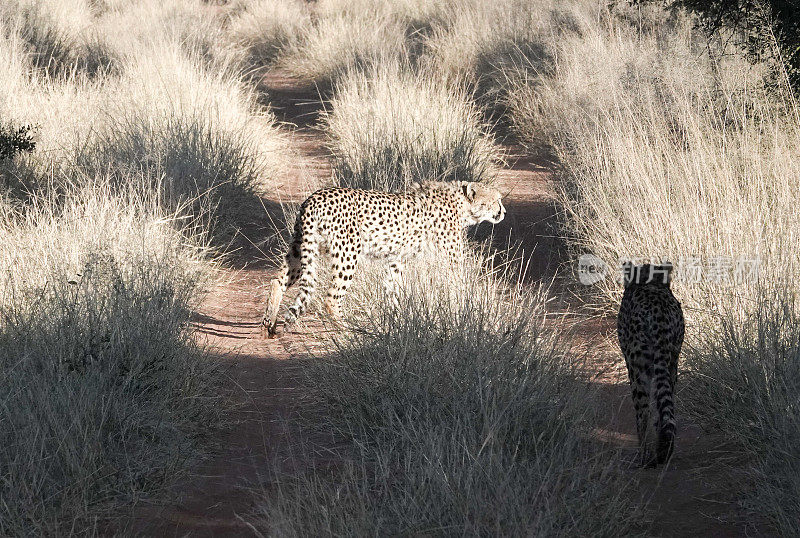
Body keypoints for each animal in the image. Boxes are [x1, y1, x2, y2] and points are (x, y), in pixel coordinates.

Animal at [260, 182, 506, 338]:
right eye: (496, 201)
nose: (503, 212)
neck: (461, 203)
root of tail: (314, 197)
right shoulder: (450, 259)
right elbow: (459, 283)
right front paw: (466, 310)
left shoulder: (397, 259)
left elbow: (392, 289)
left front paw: (395, 321)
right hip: (348, 254)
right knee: (331, 297)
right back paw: (347, 329)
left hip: (301, 248)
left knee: (278, 280)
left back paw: (268, 324)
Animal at [616, 262, 684, 462]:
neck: (649, 281)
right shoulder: (672, 362)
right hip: (669, 362)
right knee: (664, 408)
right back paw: (663, 449)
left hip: (637, 368)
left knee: (643, 411)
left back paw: (643, 454)